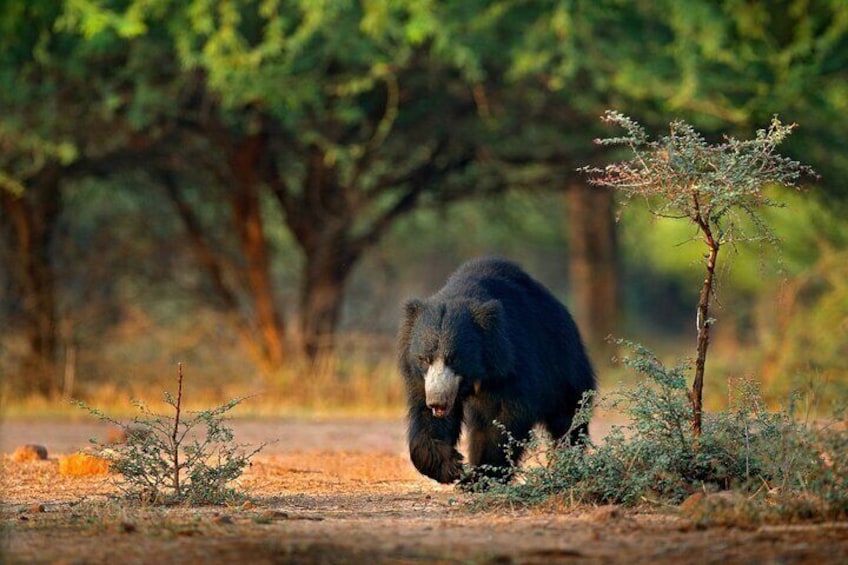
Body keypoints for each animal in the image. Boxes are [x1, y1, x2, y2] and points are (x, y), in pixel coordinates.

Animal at [398, 257, 596, 485]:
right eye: (424, 359)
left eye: (454, 359)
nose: (437, 401)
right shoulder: (422, 380)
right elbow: (425, 416)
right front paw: (450, 466)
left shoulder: (512, 363)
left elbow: (503, 419)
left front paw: (478, 477)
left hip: (564, 365)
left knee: (568, 416)